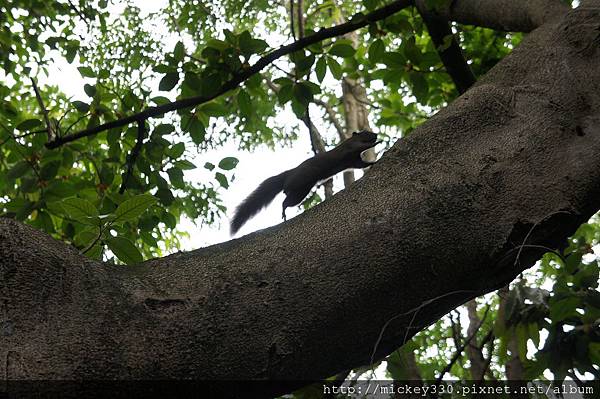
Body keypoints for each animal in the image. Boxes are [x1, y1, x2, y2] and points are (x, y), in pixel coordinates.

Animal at [230, 132, 380, 234]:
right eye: (364, 132)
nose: (375, 134)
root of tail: (289, 174)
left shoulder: (355, 160)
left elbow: (362, 164)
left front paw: (373, 162)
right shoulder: (352, 148)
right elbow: (363, 146)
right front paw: (376, 144)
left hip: (301, 191)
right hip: (299, 185)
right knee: (285, 201)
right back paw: (283, 211)